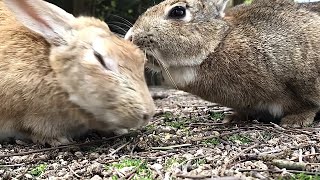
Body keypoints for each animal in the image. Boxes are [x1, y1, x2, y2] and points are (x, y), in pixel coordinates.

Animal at [125, 0, 320, 127]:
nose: (130, 38)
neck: (216, 43)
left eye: (178, 11)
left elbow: (307, 105)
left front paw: (295, 121)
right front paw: (233, 118)